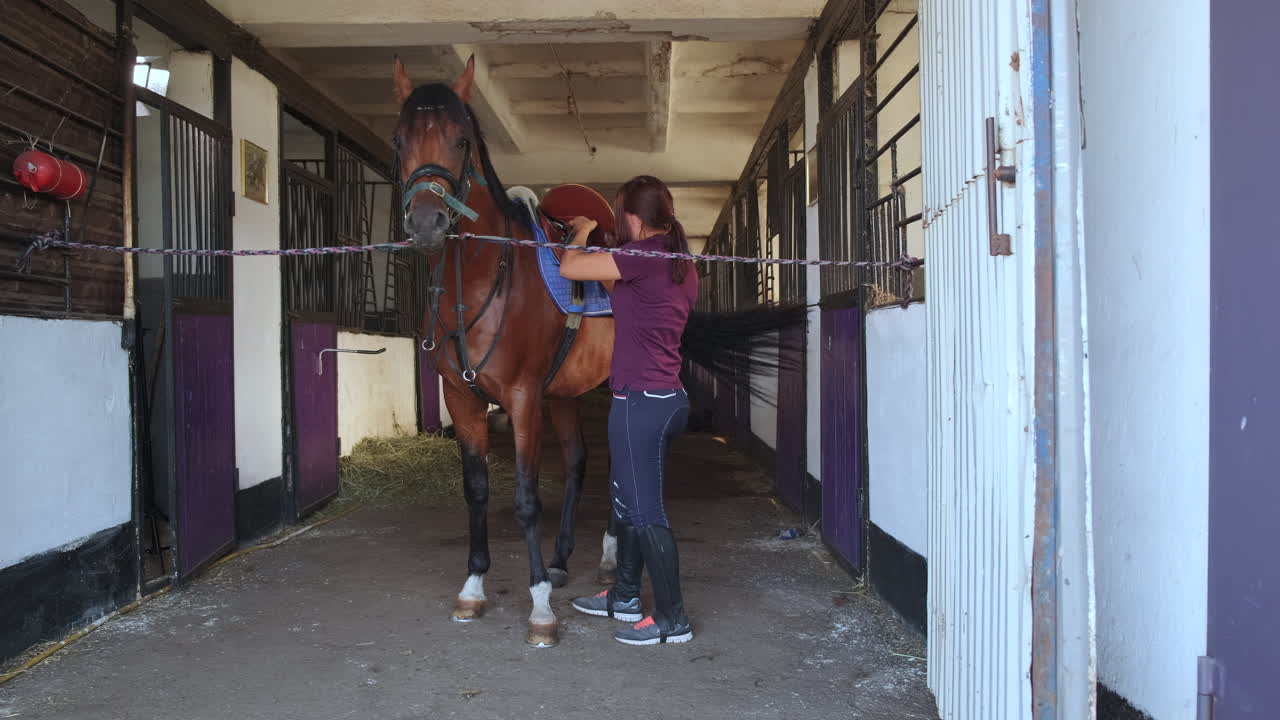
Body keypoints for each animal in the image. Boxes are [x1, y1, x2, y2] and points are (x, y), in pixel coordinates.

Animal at [390, 56, 802, 647]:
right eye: (400, 140)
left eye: (461, 140)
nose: (427, 223)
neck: (483, 280)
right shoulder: (462, 398)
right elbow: (477, 490)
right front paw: (473, 588)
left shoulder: (521, 398)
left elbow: (525, 497)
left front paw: (540, 608)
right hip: (564, 394)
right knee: (582, 462)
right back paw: (564, 559)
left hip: (605, 390)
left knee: (621, 470)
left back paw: (608, 558)